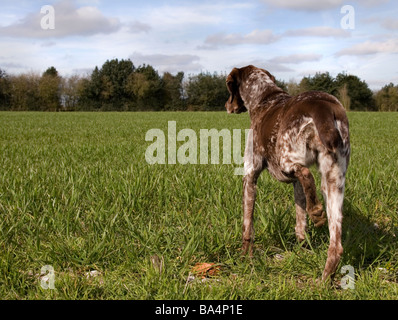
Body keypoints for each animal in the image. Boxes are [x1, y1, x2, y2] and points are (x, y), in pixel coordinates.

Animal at [225, 65, 350, 282]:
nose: (226, 105)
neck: (265, 98)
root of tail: (322, 107)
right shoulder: (296, 185)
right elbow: (300, 222)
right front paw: (301, 248)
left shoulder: (249, 175)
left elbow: (247, 226)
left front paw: (245, 258)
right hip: (334, 181)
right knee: (336, 246)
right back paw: (323, 281)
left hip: (285, 157)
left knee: (306, 173)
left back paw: (316, 211)